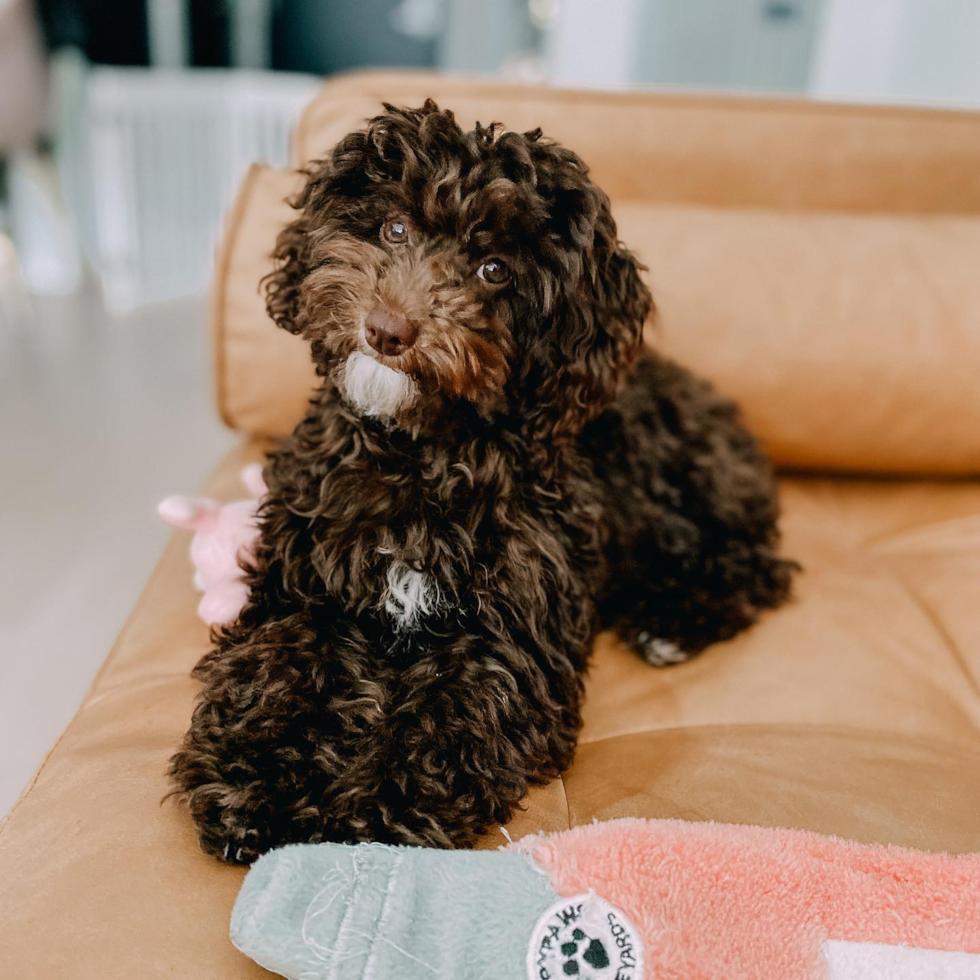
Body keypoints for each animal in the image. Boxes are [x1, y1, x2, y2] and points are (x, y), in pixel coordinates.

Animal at [168, 101, 796, 864]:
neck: (416, 455)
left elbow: (451, 714)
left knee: (753, 567)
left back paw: (669, 622)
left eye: (494, 269)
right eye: (394, 228)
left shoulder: (510, 642)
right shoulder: (302, 591)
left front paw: (370, 809)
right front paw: (250, 780)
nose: (388, 330)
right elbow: (273, 666)